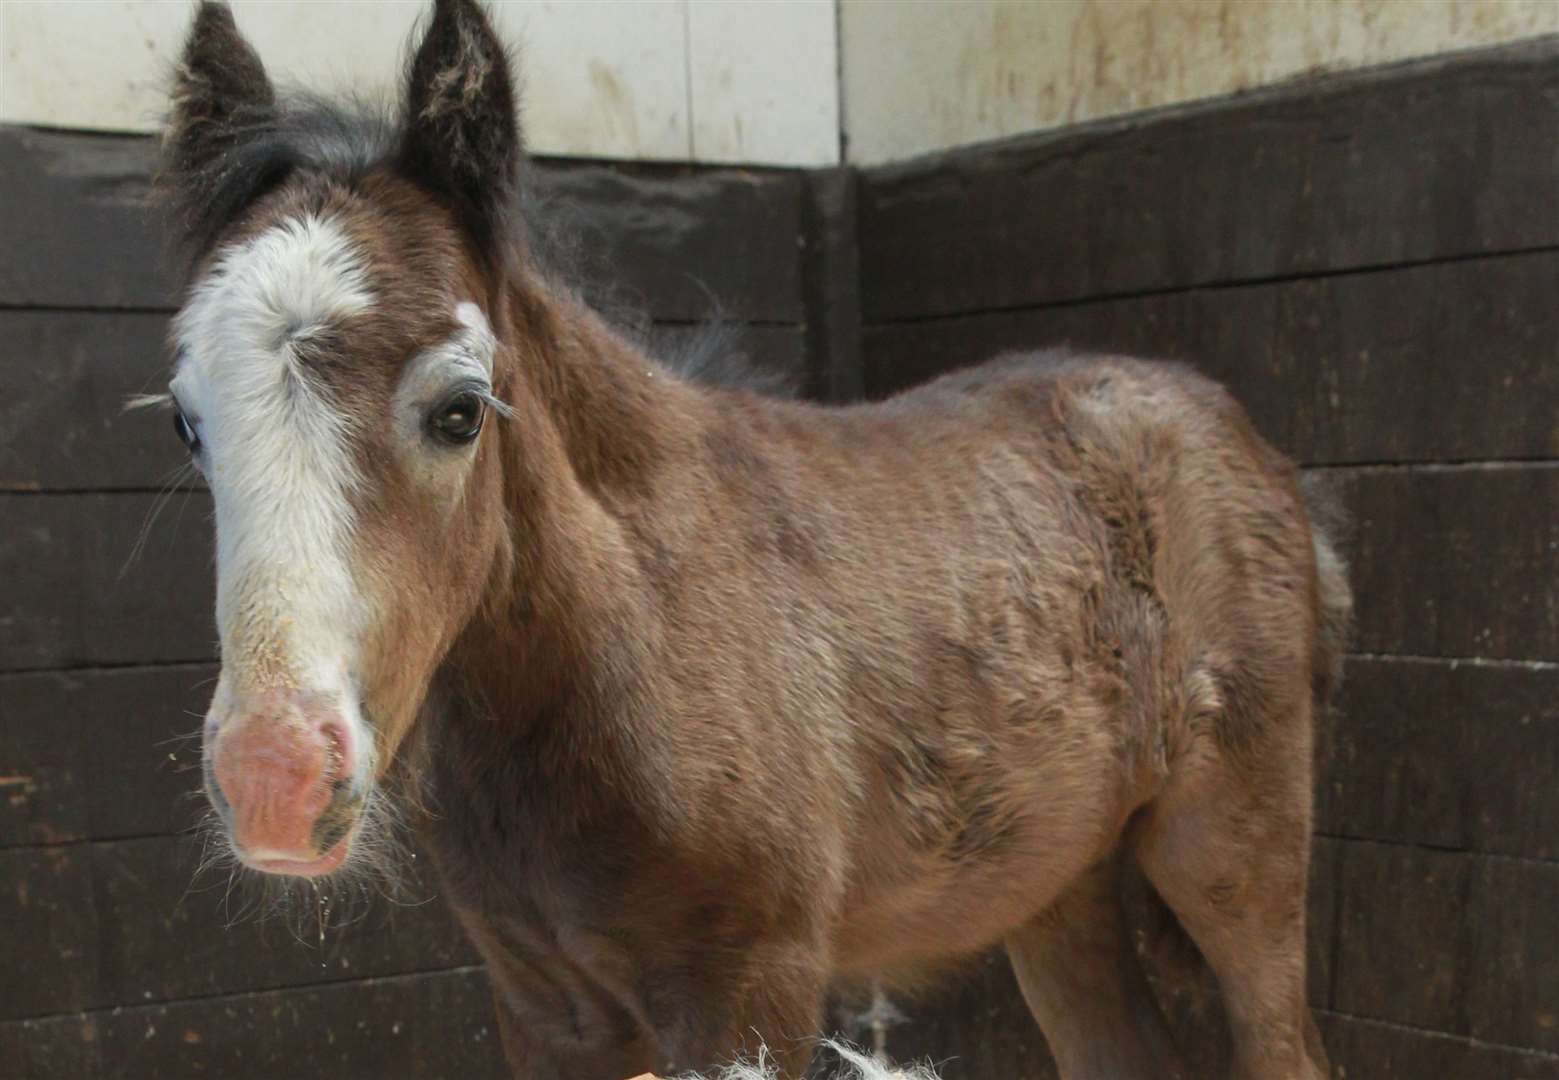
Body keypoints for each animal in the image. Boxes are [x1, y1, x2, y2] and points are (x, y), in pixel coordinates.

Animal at [164, 4, 1346, 1072]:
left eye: (460, 412)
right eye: (187, 421)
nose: (274, 781)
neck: (632, 637)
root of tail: (1240, 435)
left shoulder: (749, 988)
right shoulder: (545, 1008)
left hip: (1233, 851)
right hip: (1059, 883)